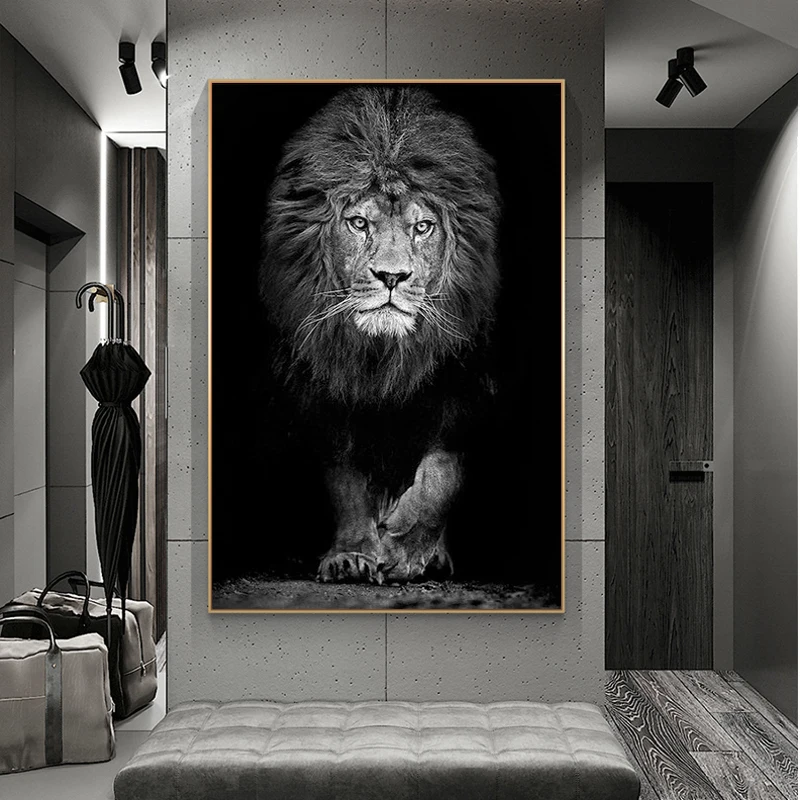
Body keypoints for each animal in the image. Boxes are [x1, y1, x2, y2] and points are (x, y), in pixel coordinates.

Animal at [260, 86, 500, 584]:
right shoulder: (326, 392)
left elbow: (441, 474)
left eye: (423, 227)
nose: (392, 276)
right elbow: (346, 480)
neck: (384, 356)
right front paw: (352, 554)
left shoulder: (466, 387)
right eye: (359, 223)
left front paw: (407, 549)